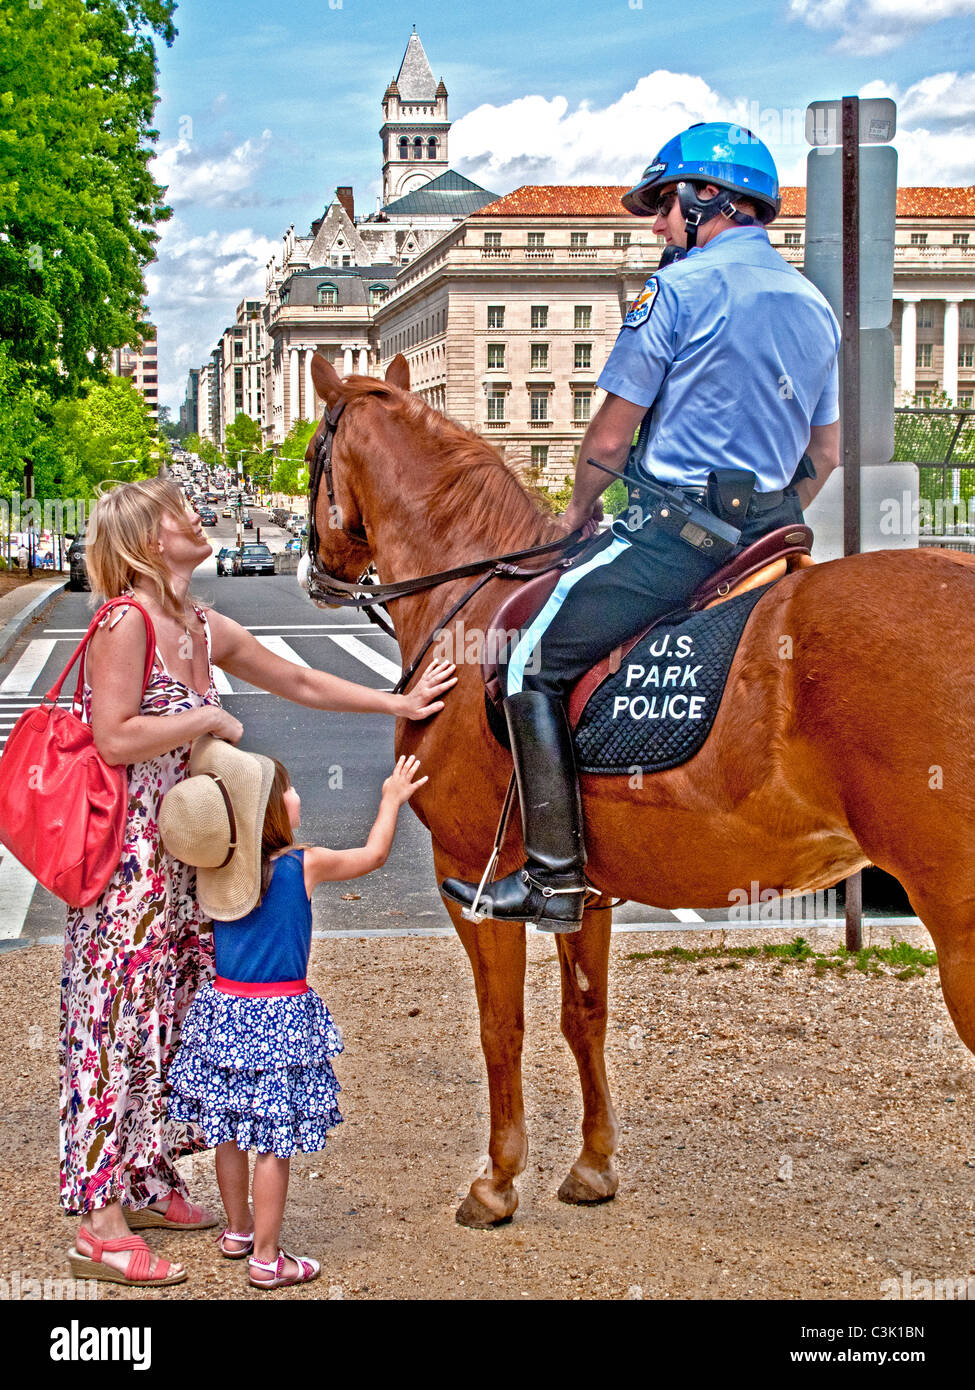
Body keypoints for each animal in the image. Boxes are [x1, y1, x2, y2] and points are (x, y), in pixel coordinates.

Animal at [305, 353, 973, 1234]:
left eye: (310, 455)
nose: (313, 568)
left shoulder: (472, 877)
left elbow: (500, 1027)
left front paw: (497, 1180)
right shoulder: (578, 886)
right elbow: (582, 1017)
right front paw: (591, 1165)